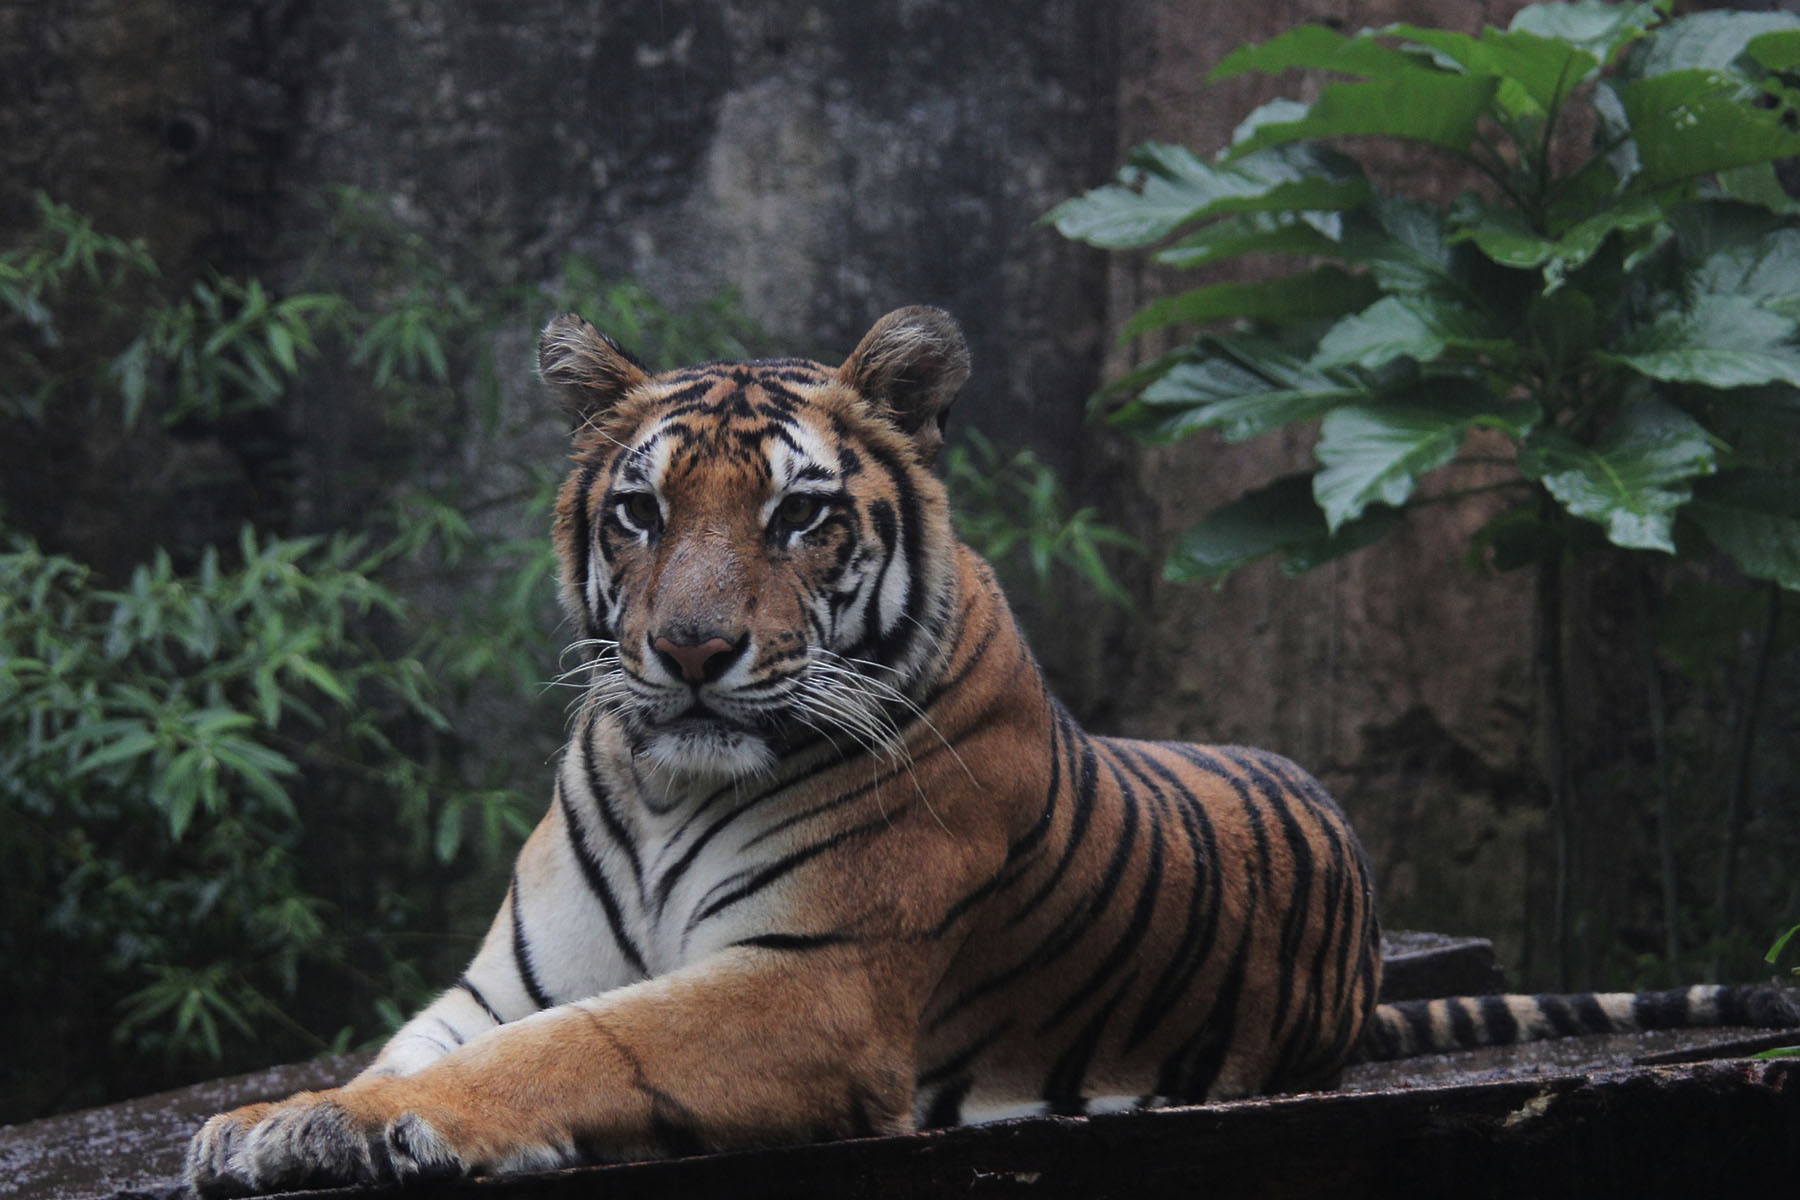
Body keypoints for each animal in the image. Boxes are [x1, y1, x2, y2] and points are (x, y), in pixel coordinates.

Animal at [189, 307, 1792, 1194]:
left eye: (797, 516)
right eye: (640, 512)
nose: (693, 653)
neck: (664, 783)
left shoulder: (808, 988)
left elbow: (569, 1051)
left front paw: (372, 1126)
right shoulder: (495, 983)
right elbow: (429, 1046)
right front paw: (284, 1121)